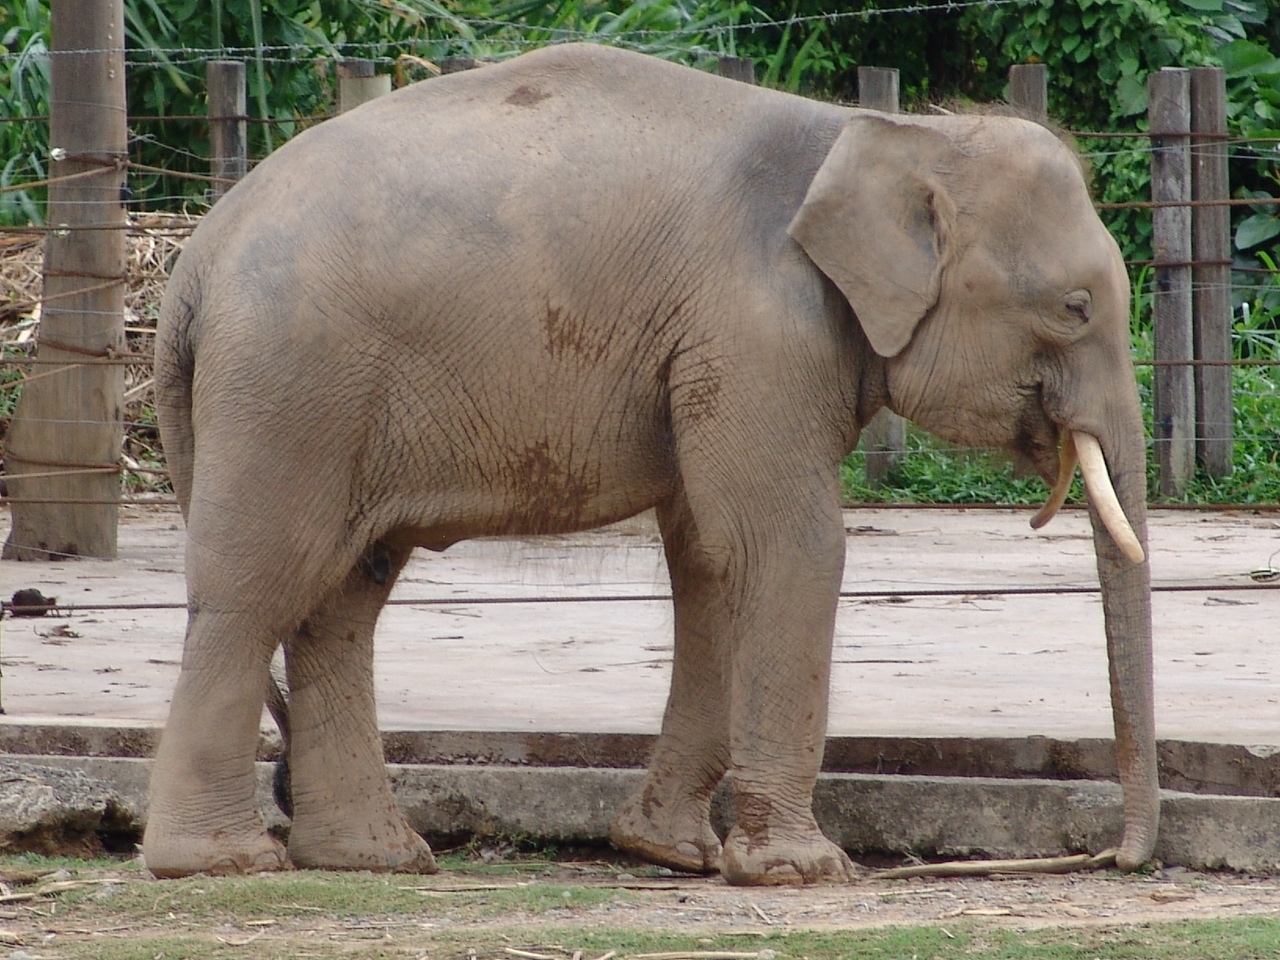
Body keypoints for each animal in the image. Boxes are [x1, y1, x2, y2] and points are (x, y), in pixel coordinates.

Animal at [143, 42, 1156, 884]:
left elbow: (710, 559)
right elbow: (788, 544)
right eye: (1074, 307)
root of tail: (193, 263)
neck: (882, 133)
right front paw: (802, 873)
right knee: (259, 589)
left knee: (342, 597)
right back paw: (220, 863)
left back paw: (373, 858)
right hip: (290, 385)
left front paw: (672, 855)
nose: (1111, 858)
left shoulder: (712, 351)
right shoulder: (755, 330)